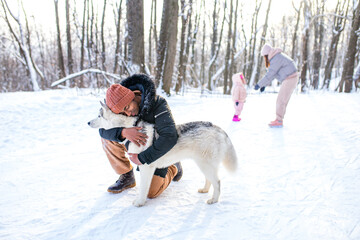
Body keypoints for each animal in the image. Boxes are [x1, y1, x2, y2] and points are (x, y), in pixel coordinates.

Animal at [88, 101, 238, 206]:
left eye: (99, 115)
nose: (88, 122)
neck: (130, 126)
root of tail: (218, 128)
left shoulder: (145, 167)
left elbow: (144, 188)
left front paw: (140, 202)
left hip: (205, 164)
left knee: (217, 182)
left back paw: (214, 200)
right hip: (203, 164)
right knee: (209, 180)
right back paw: (205, 190)